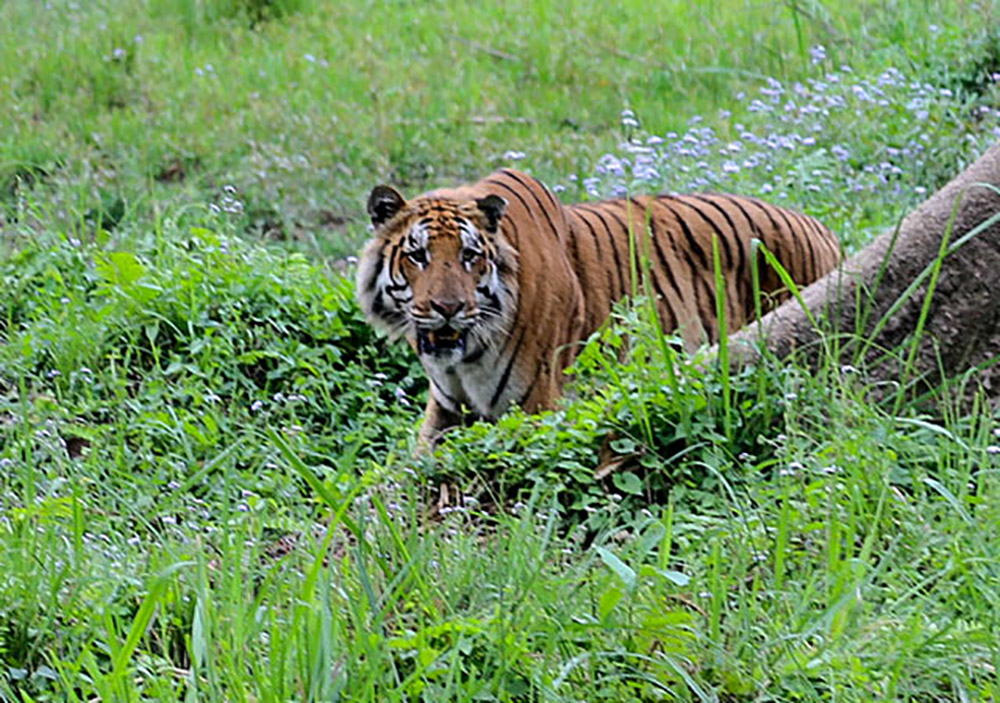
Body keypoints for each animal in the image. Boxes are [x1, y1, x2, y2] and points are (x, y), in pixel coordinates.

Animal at [356, 168, 840, 446]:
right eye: (418, 255)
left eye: (469, 256)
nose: (448, 307)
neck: (466, 357)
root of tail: (824, 230)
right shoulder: (445, 409)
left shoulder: (537, 401)